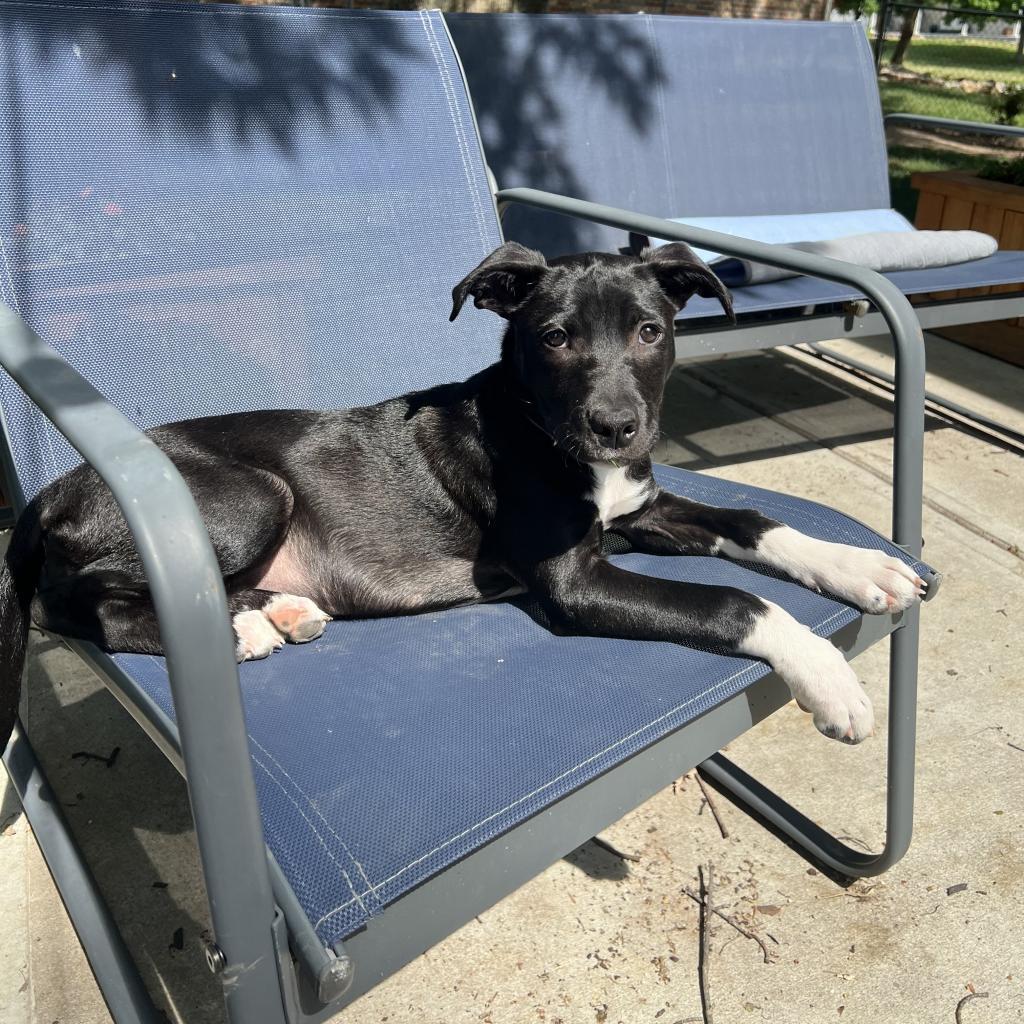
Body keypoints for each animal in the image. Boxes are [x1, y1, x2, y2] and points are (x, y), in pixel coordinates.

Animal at [0, 243, 929, 749]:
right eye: (554, 338)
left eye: (651, 331)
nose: (617, 428)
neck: (541, 427)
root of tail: (49, 491)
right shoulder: (572, 582)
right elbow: (737, 601)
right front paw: (831, 682)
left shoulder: (642, 513)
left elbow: (754, 522)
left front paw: (863, 567)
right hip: (252, 494)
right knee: (84, 606)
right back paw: (239, 631)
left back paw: (277, 612)